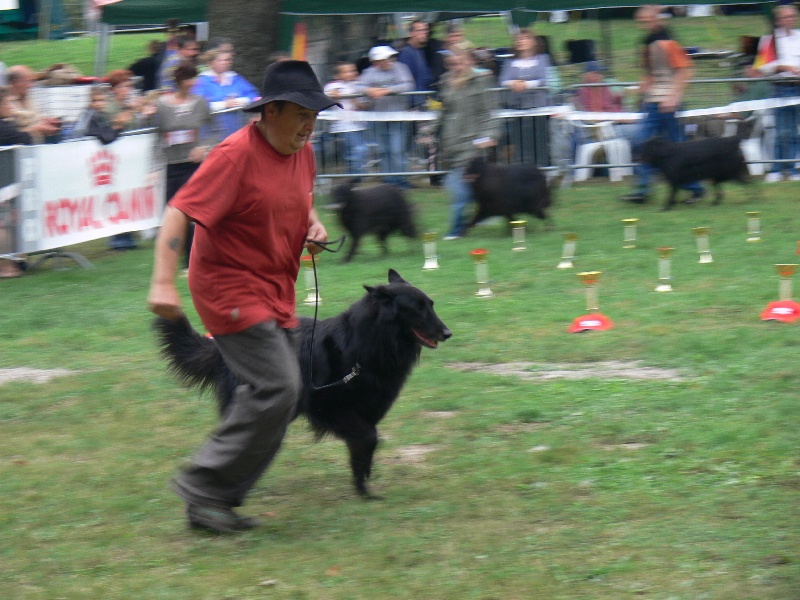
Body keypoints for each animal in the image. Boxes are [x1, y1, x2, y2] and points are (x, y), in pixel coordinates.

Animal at [154, 270, 454, 500]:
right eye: (417, 308)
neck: (367, 344)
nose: (447, 333)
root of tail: (220, 346)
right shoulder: (331, 409)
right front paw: (364, 490)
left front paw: (362, 486)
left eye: (431, 304)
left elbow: (363, 449)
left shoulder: (366, 411)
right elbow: (369, 438)